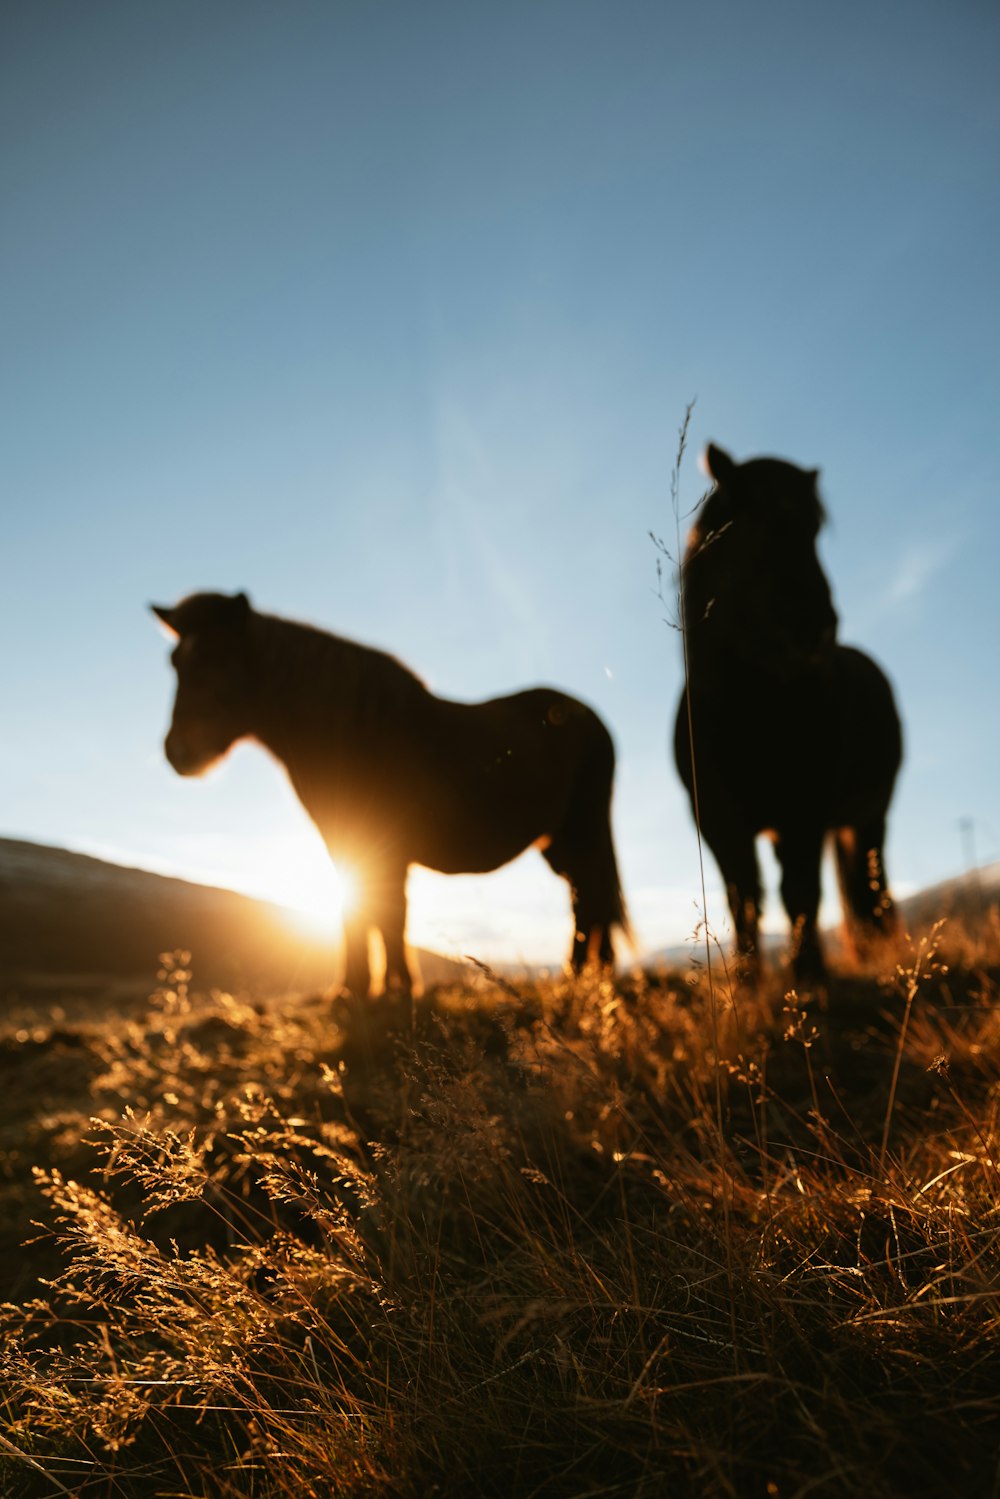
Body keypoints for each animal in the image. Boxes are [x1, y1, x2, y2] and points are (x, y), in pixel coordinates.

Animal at [152, 590, 629, 1001]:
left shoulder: (384, 845)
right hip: (560, 842)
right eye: (174, 662)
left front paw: (394, 988)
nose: (177, 752)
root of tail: (590, 717)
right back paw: (589, 977)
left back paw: (583, 979)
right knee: (586, 900)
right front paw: (355, 989)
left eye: (219, 655)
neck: (352, 731)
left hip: (583, 831)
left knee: (591, 901)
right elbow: (362, 913)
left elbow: (386, 915)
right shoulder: (345, 841)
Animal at [677, 443, 905, 983]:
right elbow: (743, 896)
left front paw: (808, 976)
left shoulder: (804, 808)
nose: (817, 626)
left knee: (870, 881)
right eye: (756, 523)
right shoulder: (716, 818)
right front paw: (747, 979)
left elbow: (799, 891)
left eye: (814, 528)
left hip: (870, 814)